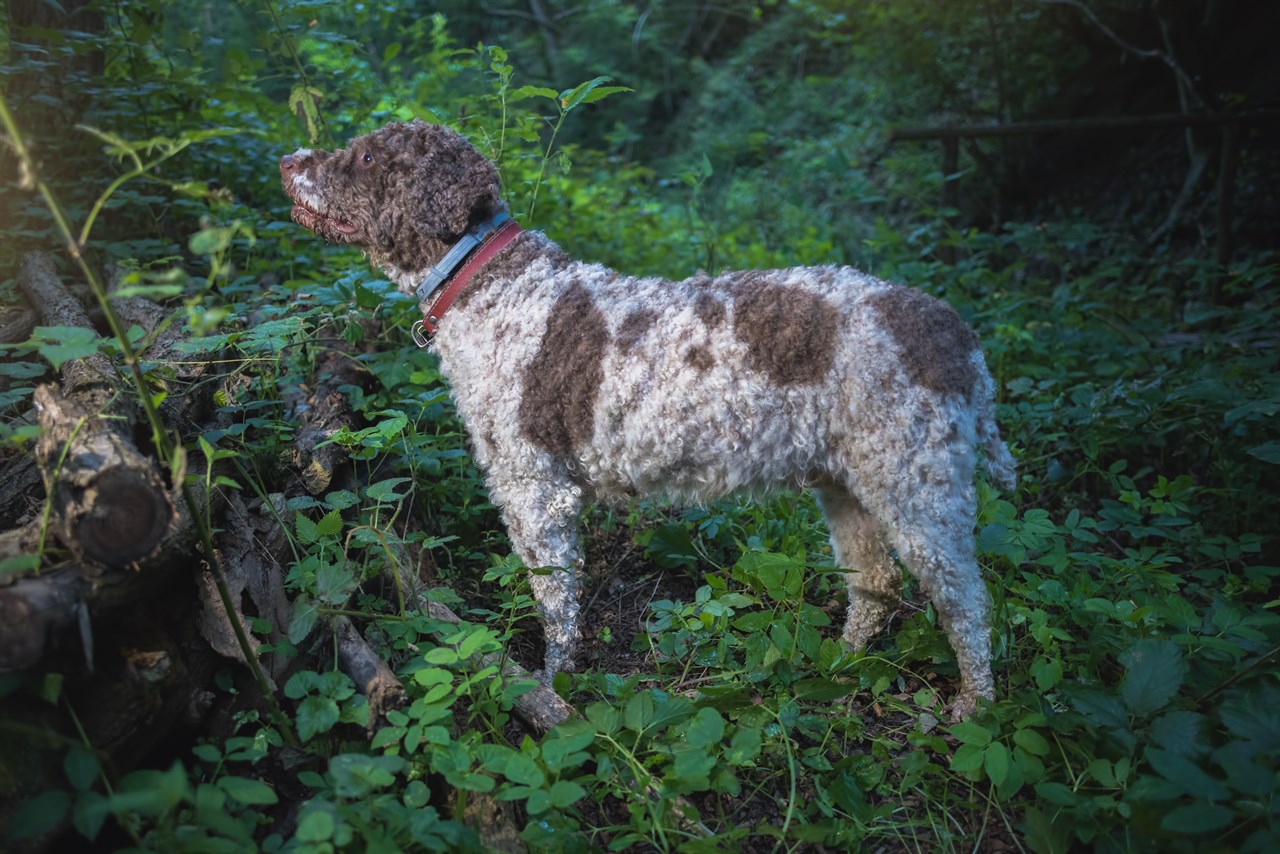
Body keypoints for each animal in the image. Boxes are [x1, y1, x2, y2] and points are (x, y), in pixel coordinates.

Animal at [282, 120, 1018, 717]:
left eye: (367, 155)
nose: (289, 160)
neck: (494, 286)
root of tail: (955, 332)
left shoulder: (535, 489)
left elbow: (556, 604)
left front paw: (552, 688)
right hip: (846, 485)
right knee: (877, 583)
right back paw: (840, 664)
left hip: (919, 489)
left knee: (967, 602)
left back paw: (975, 706)